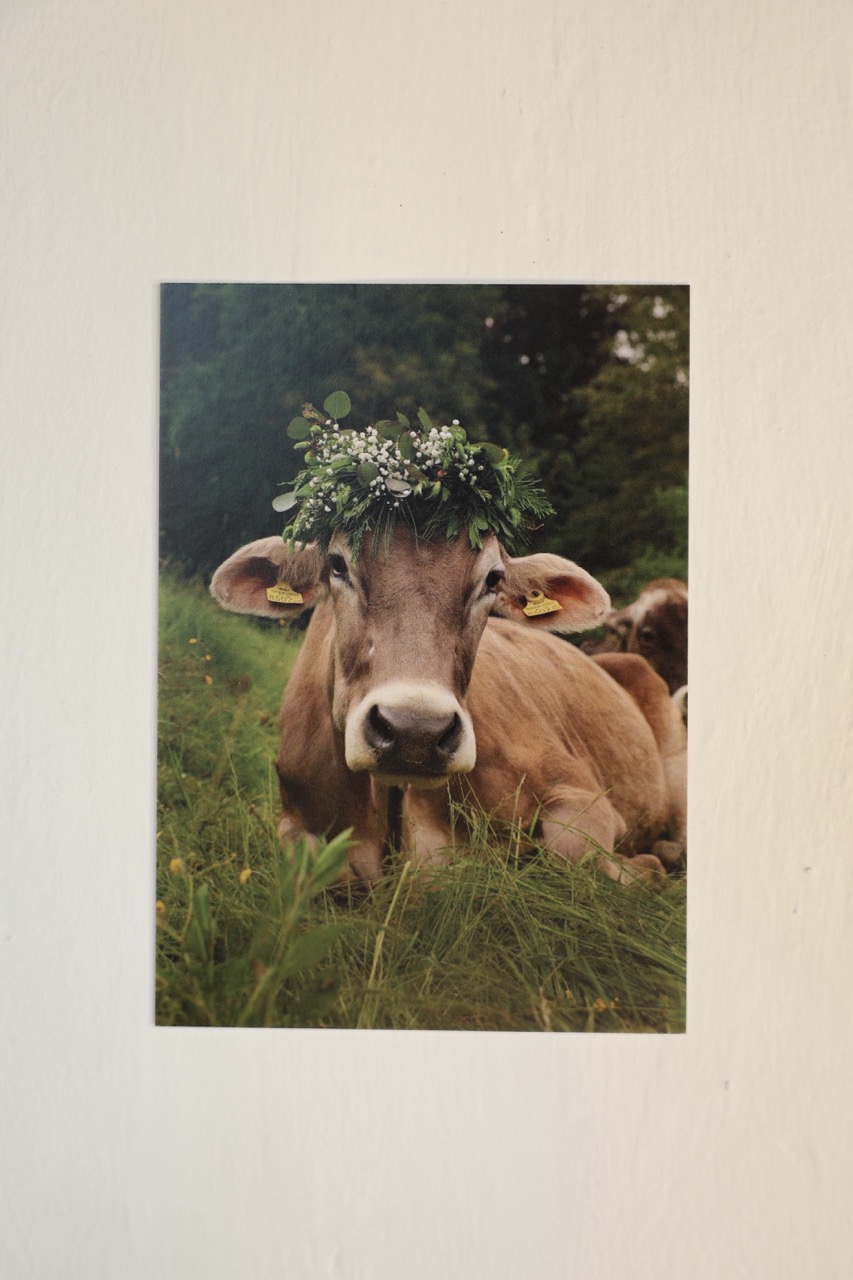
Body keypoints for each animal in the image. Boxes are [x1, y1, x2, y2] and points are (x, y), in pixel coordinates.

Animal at [210, 529, 687, 886]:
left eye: (492, 579)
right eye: (337, 564)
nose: (415, 731)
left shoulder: (583, 793)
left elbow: (572, 852)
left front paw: (646, 868)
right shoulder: (296, 816)